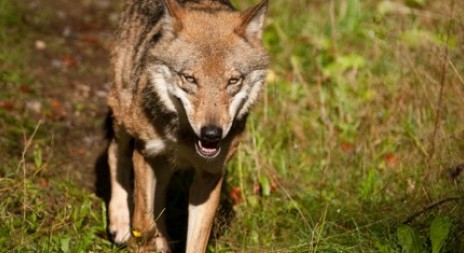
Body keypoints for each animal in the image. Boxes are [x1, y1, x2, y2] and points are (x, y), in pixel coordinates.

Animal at [106, 0, 268, 251]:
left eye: (233, 81)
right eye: (190, 79)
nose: (211, 133)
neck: (182, 136)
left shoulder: (210, 176)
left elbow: (196, 241)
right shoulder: (145, 153)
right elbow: (143, 223)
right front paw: (141, 240)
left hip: (166, 164)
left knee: (160, 195)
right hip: (125, 119)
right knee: (114, 153)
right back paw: (120, 223)